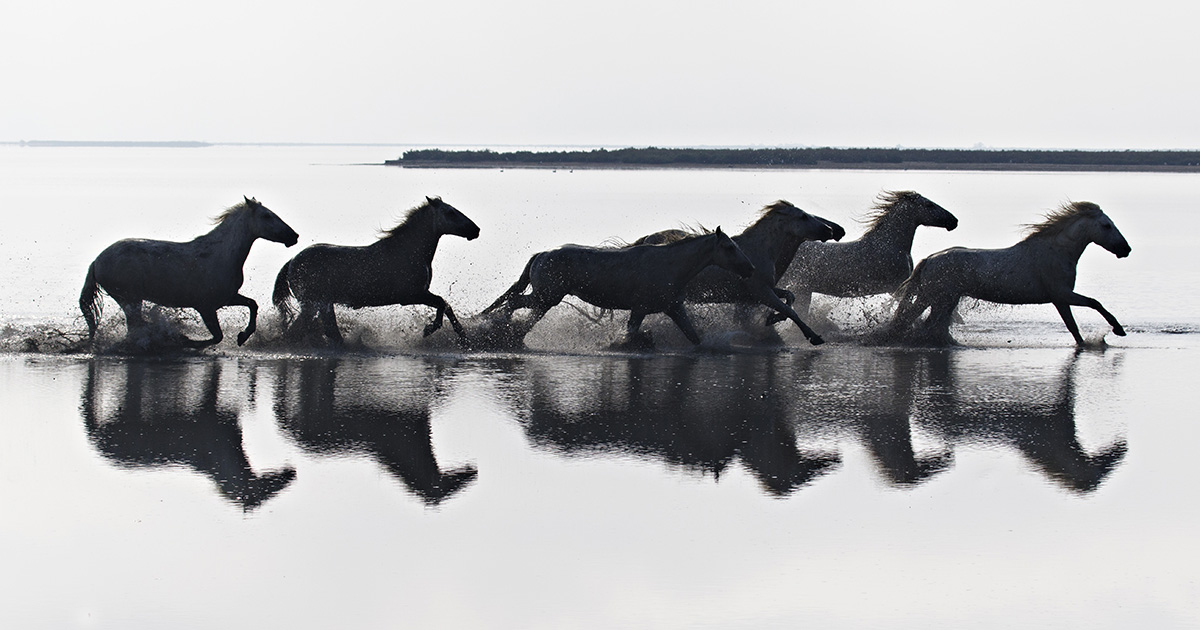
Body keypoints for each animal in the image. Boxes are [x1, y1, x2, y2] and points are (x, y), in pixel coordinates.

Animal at [79, 196, 299, 348]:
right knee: (137, 326)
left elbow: (252, 304)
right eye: (266, 215)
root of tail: (96, 262)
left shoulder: (226, 298)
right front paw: (186, 340)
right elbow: (216, 337)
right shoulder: (205, 307)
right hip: (129, 299)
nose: (293, 236)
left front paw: (242, 336)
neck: (219, 255)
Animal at [273, 196, 479, 343]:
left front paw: (455, 334)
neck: (408, 251)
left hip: (322, 305)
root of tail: (292, 261)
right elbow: (443, 303)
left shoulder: (419, 294)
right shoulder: (412, 295)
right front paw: (436, 330)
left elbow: (444, 305)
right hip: (312, 305)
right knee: (297, 332)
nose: (475, 230)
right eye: (450, 212)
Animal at [480, 228, 755, 347]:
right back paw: (499, 326)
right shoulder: (640, 308)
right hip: (546, 296)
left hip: (546, 299)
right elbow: (631, 333)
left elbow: (694, 337)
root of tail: (542, 254)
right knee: (514, 303)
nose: (750, 268)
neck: (669, 265)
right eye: (729, 247)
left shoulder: (675, 308)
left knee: (524, 312)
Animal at [632, 200, 846, 345]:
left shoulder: (757, 293)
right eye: (804, 217)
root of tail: (647, 239)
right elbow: (789, 310)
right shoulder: (760, 291)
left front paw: (771, 319)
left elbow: (789, 297)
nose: (832, 230)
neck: (760, 250)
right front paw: (813, 336)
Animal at [888, 201, 1130, 345]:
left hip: (940, 298)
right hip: (938, 297)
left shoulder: (1060, 299)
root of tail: (929, 260)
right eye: (1106, 226)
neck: (1058, 251)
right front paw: (1118, 330)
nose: (1125, 249)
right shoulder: (1062, 294)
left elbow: (1074, 327)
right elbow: (1093, 305)